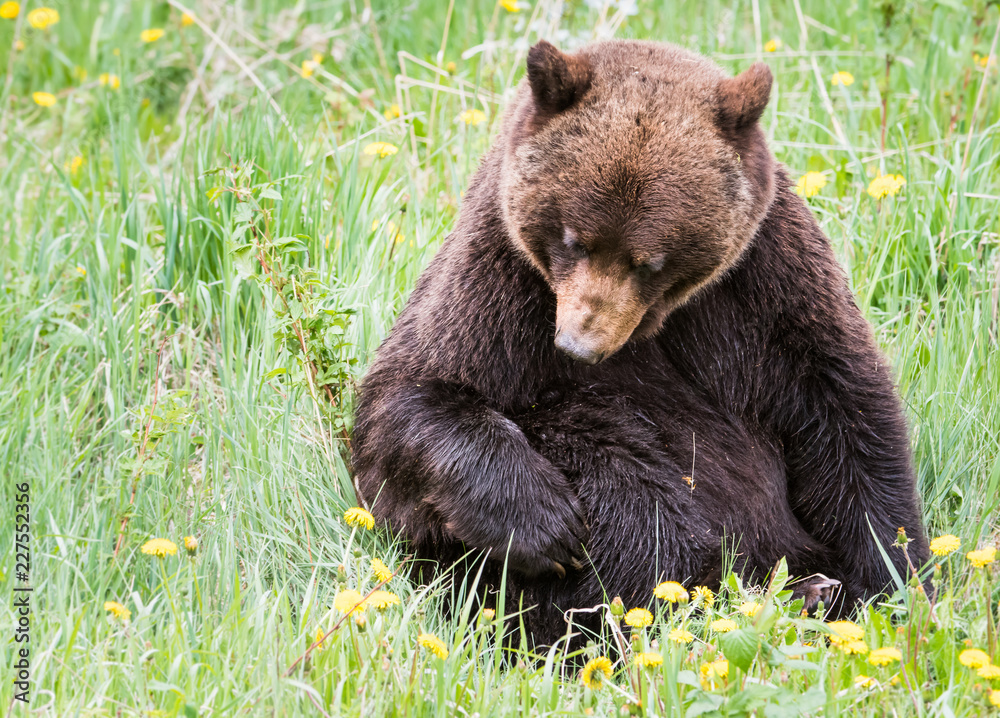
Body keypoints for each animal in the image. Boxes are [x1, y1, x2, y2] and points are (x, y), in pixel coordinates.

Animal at [351, 39, 930, 648]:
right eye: (572, 238)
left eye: (649, 260)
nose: (579, 344)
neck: (654, 325)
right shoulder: (498, 273)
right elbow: (411, 397)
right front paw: (546, 526)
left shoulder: (765, 281)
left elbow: (844, 409)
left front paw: (893, 580)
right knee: (608, 466)